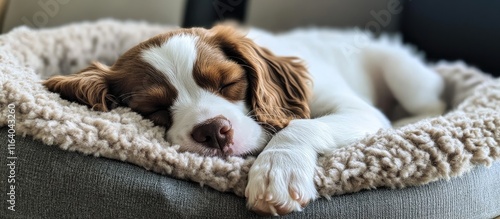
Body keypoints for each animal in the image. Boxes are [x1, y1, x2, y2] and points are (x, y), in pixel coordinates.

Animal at [44, 25, 446, 216]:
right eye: (154, 108)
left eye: (228, 83)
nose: (213, 131)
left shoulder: (357, 110)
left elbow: (300, 123)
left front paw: (276, 173)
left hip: (403, 73)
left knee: (433, 101)